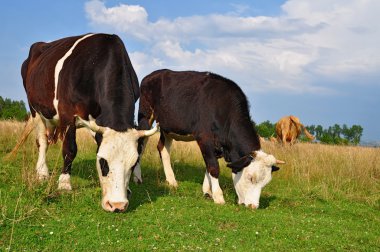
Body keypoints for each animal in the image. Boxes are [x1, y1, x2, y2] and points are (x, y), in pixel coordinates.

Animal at [21, 32, 157, 212]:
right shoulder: (67, 114)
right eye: (102, 162)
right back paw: (42, 172)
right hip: (36, 110)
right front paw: (64, 183)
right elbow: (70, 149)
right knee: (42, 141)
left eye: (133, 164)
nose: (117, 205)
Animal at [137, 69, 284, 209]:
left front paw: (207, 191)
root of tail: (153, 74)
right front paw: (218, 196)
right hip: (146, 116)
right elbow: (213, 167)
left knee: (163, 148)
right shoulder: (205, 138)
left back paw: (171, 181)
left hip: (167, 127)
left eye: (265, 183)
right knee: (141, 145)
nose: (253, 206)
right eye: (250, 177)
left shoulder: (218, 146)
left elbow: (208, 167)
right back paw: (137, 177)